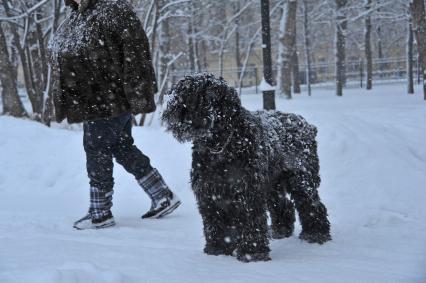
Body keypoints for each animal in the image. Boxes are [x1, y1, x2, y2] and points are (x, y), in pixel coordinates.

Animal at [161, 74, 332, 262]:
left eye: (192, 92)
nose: (170, 101)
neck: (221, 145)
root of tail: (306, 124)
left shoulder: (248, 191)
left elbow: (251, 221)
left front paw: (252, 252)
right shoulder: (209, 192)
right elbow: (214, 222)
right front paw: (217, 249)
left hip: (301, 179)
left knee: (311, 204)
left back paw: (316, 234)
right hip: (273, 184)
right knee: (283, 204)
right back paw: (280, 230)